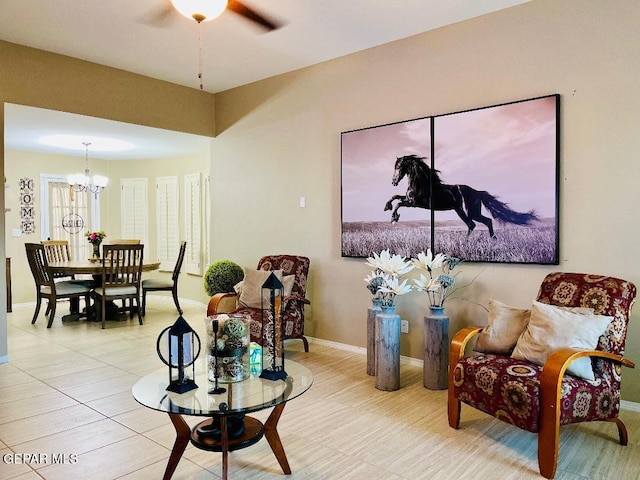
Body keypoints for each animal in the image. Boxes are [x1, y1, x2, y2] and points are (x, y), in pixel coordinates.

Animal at [382, 156, 536, 238]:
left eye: (398, 167)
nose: (393, 182)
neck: (422, 183)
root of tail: (478, 192)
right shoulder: (409, 199)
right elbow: (395, 196)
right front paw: (386, 207)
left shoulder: (414, 202)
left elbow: (398, 203)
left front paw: (394, 218)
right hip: (462, 211)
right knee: (477, 223)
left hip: (469, 212)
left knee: (479, 223)